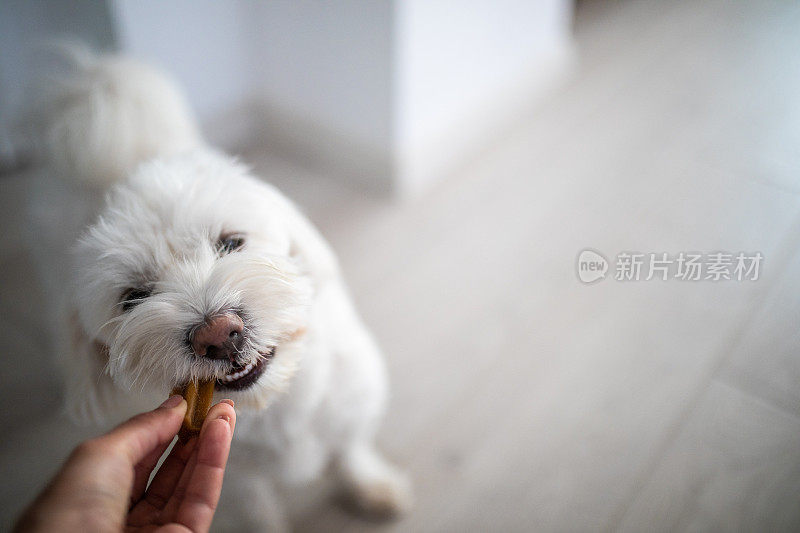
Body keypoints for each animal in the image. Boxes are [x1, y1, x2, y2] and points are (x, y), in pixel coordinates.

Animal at [28, 48, 410, 528]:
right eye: (132, 298)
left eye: (231, 242)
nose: (219, 334)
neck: (270, 405)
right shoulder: (232, 481)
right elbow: (257, 510)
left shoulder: (349, 403)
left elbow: (351, 450)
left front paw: (371, 484)